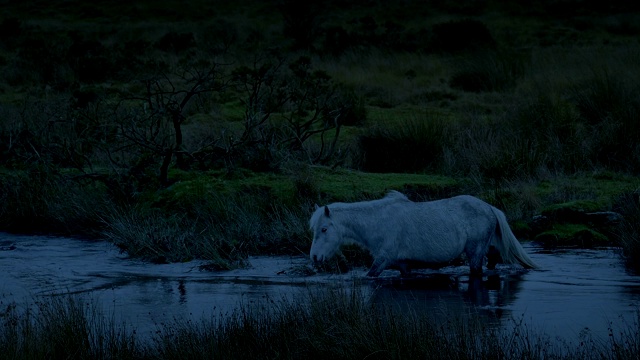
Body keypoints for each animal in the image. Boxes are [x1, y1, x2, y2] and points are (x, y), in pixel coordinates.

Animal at [308, 190, 536, 278]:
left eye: (324, 229)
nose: (315, 257)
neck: (378, 222)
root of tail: (489, 207)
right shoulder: (403, 264)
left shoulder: (382, 260)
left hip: (475, 252)